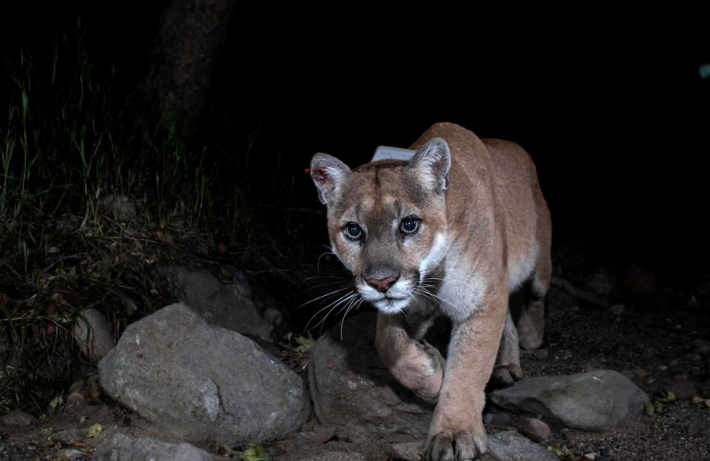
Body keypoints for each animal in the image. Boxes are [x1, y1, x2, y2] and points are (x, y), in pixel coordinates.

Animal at [308, 123, 552, 460]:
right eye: (353, 230)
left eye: (409, 225)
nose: (381, 282)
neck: (433, 274)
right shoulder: (408, 306)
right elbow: (388, 343)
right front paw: (432, 375)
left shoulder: (482, 300)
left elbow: (468, 369)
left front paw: (454, 432)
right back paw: (505, 365)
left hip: (538, 257)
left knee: (535, 296)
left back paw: (530, 336)